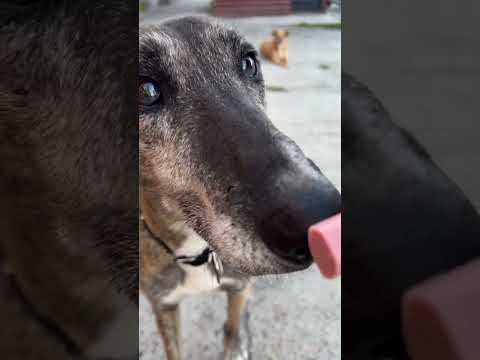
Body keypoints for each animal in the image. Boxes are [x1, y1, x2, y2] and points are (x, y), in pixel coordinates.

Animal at [139, 16, 342, 360]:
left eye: (248, 63)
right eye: (146, 90)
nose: (318, 215)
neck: (196, 252)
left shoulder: (240, 286)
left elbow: (234, 329)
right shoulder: (163, 305)